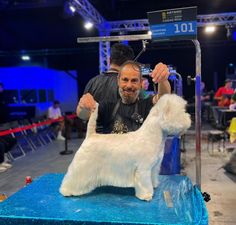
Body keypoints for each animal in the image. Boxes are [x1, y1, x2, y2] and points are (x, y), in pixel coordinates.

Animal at [60, 94, 191, 201]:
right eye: (181, 112)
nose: (189, 119)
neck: (152, 136)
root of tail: (91, 135)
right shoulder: (143, 169)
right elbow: (144, 183)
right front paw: (146, 195)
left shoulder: (154, 167)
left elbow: (152, 177)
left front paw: (154, 185)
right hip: (83, 165)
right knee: (73, 177)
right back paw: (66, 191)